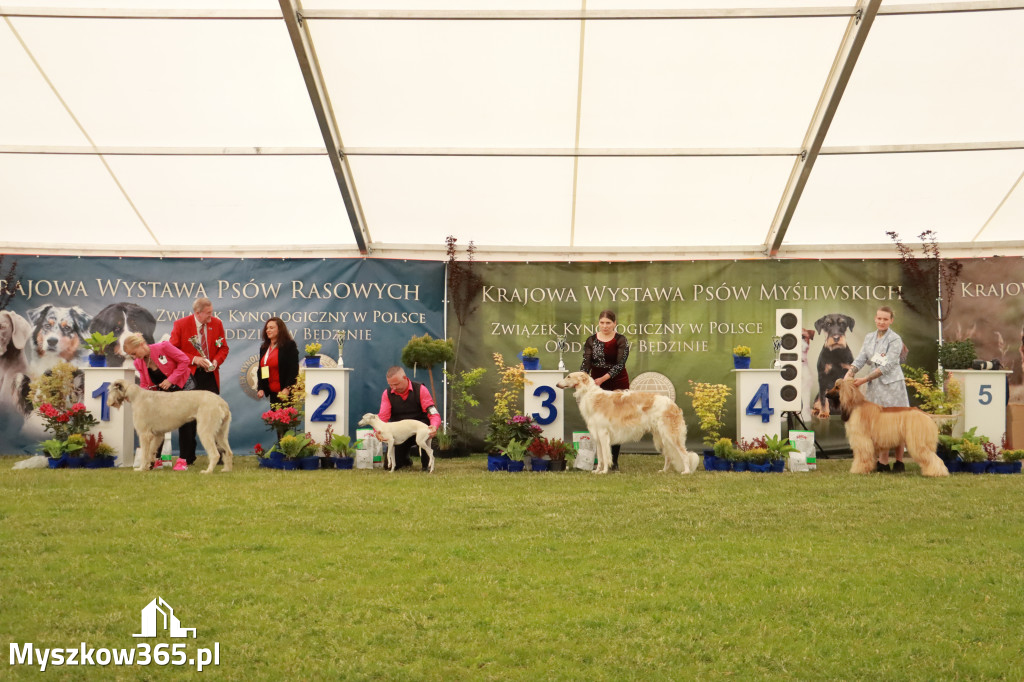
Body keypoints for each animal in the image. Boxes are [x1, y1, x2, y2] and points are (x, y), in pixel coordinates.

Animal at [557, 372, 692, 473]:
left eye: (568, 376)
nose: (557, 384)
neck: (592, 396)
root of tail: (673, 405)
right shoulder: (597, 435)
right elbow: (600, 457)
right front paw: (596, 471)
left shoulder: (603, 433)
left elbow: (605, 455)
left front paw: (604, 471)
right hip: (661, 436)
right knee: (668, 456)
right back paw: (663, 471)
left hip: (671, 435)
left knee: (684, 453)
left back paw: (686, 471)